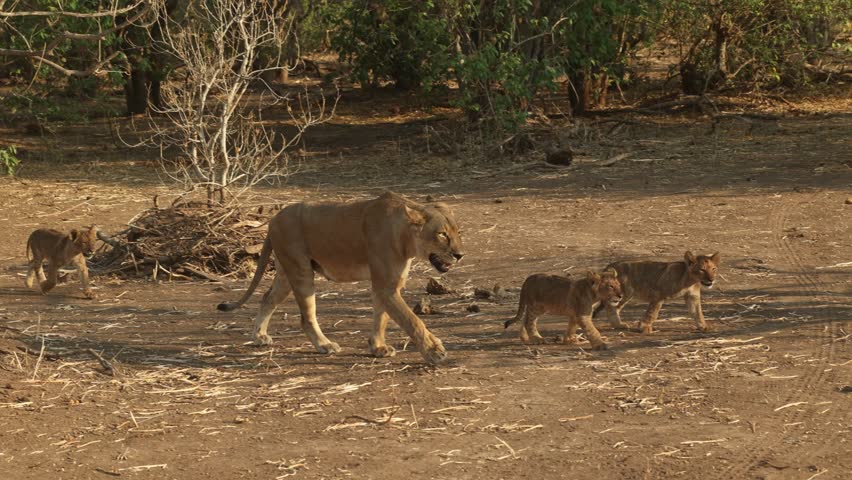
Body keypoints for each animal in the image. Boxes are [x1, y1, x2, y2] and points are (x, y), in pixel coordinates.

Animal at [217, 192, 464, 364]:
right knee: (306, 317)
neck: (405, 236)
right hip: (300, 271)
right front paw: (434, 352)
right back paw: (324, 345)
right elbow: (412, 320)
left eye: (457, 232)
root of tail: (273, 219)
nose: (460, 255)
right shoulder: (386, 285)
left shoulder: (388, 284)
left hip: (286, 274)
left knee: (267, 298)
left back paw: (260, 336)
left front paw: (378, 348)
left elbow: (381, 317)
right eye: (442, 234)